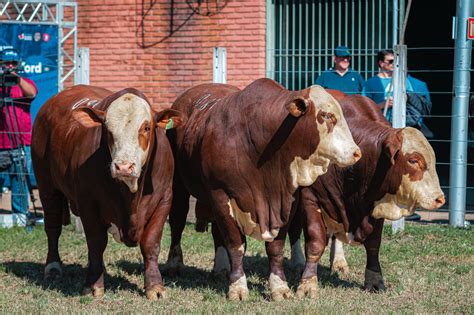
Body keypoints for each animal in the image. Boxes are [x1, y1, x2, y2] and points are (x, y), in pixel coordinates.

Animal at [31, 85, 183, 300]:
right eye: (107, 130)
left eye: (146, 127)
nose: (123, 167)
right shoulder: (88, 203)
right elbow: (96, 243)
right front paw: (94, 285)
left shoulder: (164, 200)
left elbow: (151, 244)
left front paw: (155, 286)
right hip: (47, 187)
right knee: (52, 227)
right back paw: (53, 267)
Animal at [165, 78, 362, 302]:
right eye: (327, 115)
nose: (357, 153)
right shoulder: (221, 195)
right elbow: (235, 244)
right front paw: (238, 287)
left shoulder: (286, 201)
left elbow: (275, 247)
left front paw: (279, 286)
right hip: (179, 186)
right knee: (178, 222)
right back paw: (174, 264)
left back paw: (221, 268)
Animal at [286, 94, 446, 296]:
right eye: (413, 160)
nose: (440, 198)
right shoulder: (310, 198)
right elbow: (315, 242)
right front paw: (307, 283)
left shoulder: (375, 206)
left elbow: (373, 245)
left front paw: (375, 280)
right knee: (294, 230)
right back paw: (298, 262)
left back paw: (338, 262)